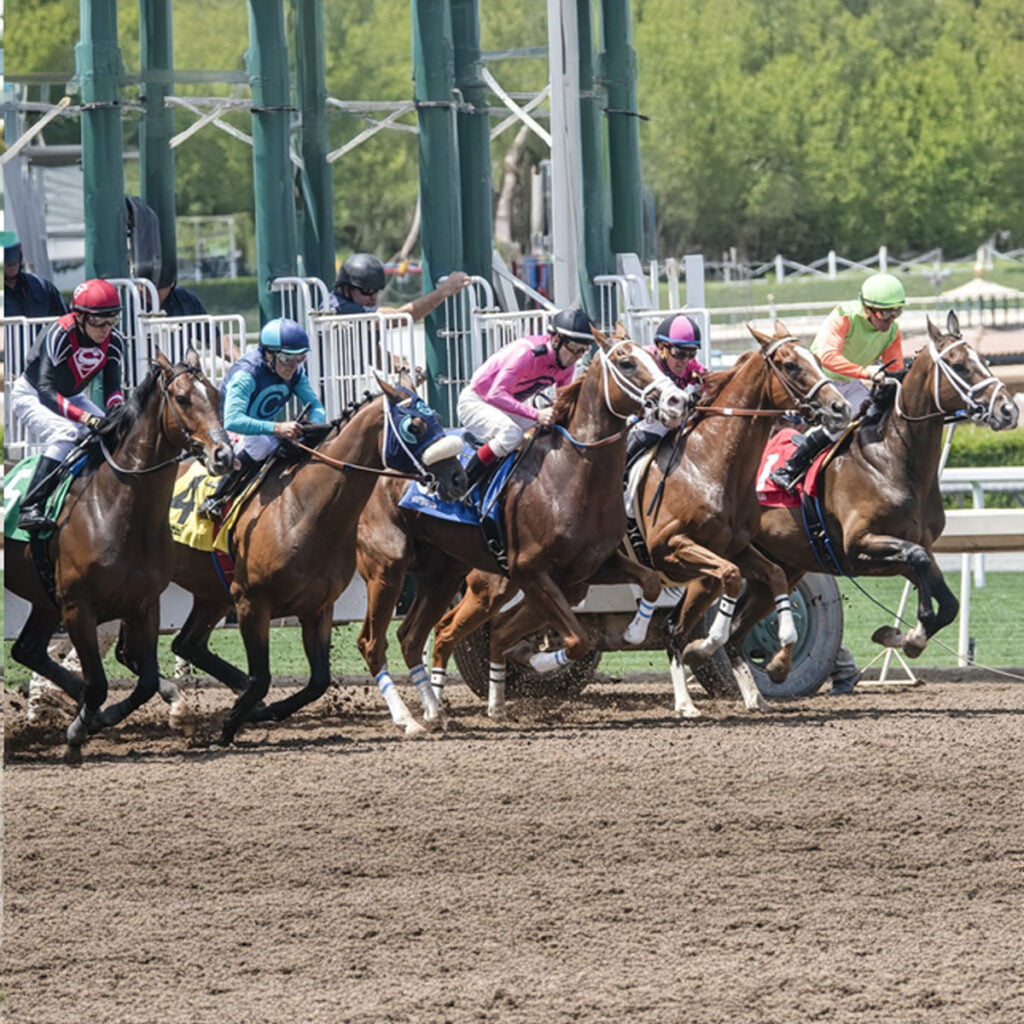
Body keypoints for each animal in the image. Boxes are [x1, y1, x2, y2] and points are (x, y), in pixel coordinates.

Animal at [4, 352, 232, 761]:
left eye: (217, 395)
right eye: (182, 398)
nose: (224, 455)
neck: (114, 508)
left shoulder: (144, 604)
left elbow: (145, 681)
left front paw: (103, 716)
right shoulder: (78, 607)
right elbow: (98, 682)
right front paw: (78, 730)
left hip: (44, 599)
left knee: (27, 649)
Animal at [164, 378, 468, 745]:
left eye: (436, 417)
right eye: (415, 426)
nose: (458, 478)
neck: (303, 507)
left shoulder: (318, 606)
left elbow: (318, 681)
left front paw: (265, 710)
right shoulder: (252, 602)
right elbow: (262, 678)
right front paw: (227, 730)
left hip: (212, 592)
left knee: (187, 642)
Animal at [358, 329, 688, 729]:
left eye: (654, 358)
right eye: (626, 363)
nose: (677, 401)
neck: (570, 473)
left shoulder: (587, 571)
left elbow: (650, 581)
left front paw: (635, 630)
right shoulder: (531, 571)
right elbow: (577, 640)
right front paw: (541, 661)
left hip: (446, 575)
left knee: (414, 635)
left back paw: (440, 708)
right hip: (388, 570)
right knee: (376, 641)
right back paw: (413, 715)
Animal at [724, 307, 1019, 667]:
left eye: (984, 361)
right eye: (959, 365)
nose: (1008, 410)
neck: (891, 461)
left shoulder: (905, 548)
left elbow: (946, 599)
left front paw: (907, 636)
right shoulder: (859, 545)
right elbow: (919, 559)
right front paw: (911, 633)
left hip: (781, 567)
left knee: (736, 630)